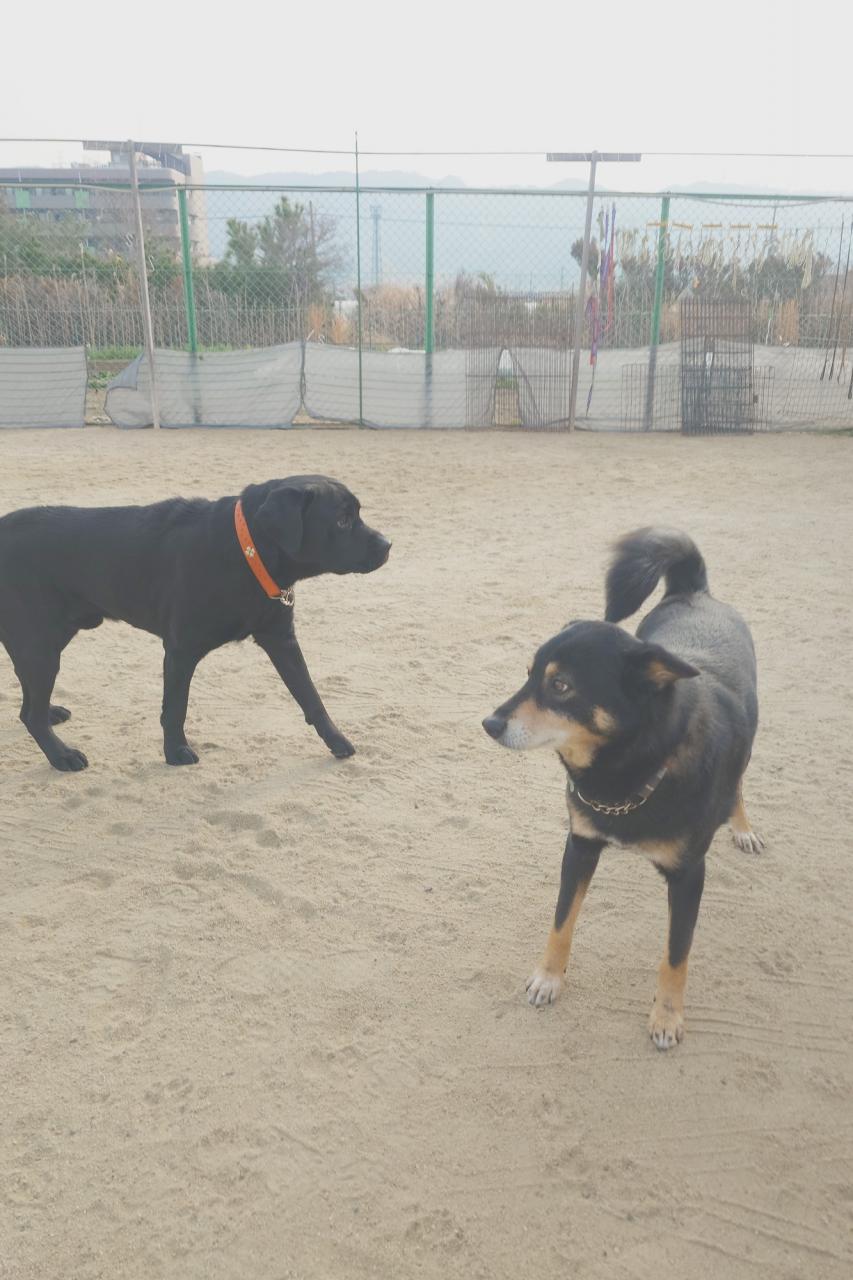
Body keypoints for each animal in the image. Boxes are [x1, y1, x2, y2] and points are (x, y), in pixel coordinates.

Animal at [0, 475, 390, 771]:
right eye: (342, 520)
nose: (388, 544)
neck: (246, 552)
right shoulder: (180, 650)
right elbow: (175, 708)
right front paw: (174, 753)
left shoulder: (281, 639)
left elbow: (311, 696)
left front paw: (337, 740)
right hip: (39, 646)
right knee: (30, 714)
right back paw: (61, 756)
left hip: (42, 642)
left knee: (29, 705)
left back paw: (51, 717)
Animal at [482, 528, 762, 1049]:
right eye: (529, 675)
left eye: (562, 686)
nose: (489, 723)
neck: (630, 773)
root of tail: (694, 591)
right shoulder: (579, 845)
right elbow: (561, 921)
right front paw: (548, 977)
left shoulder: (689, 876)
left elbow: (676, 954)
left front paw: (667, 1016)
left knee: (738, 779)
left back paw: (741, 825)